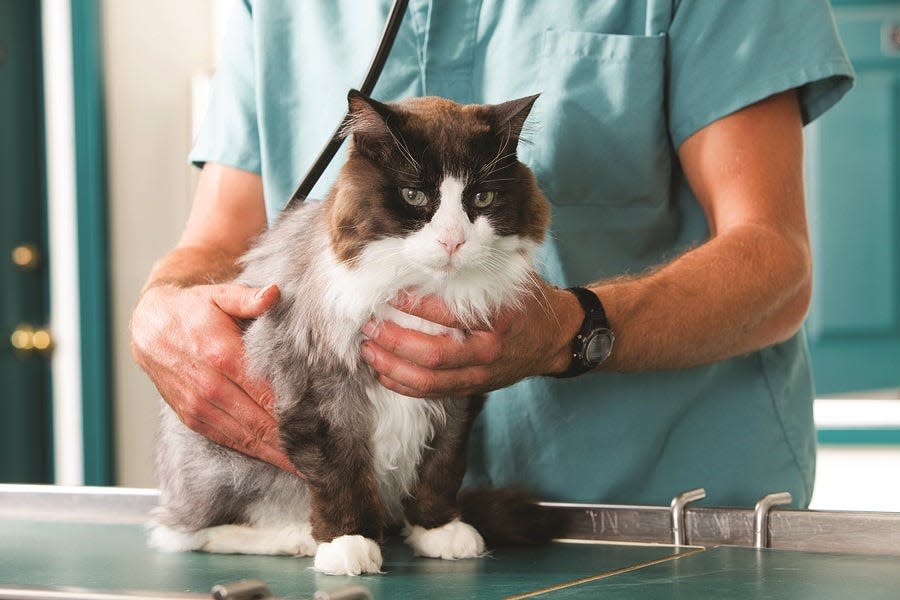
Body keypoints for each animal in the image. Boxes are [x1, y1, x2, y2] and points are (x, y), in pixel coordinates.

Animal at [149, 90, 556, 576]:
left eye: (482, 197)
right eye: (414, 195)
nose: (452, 241)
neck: (420, 290)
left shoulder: (457, 392)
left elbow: (441, 468)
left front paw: (437, 529)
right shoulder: (322, 394)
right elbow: (341, 476)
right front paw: (349, 543)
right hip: (224, 465)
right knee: (186, 533)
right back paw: (295, 538)